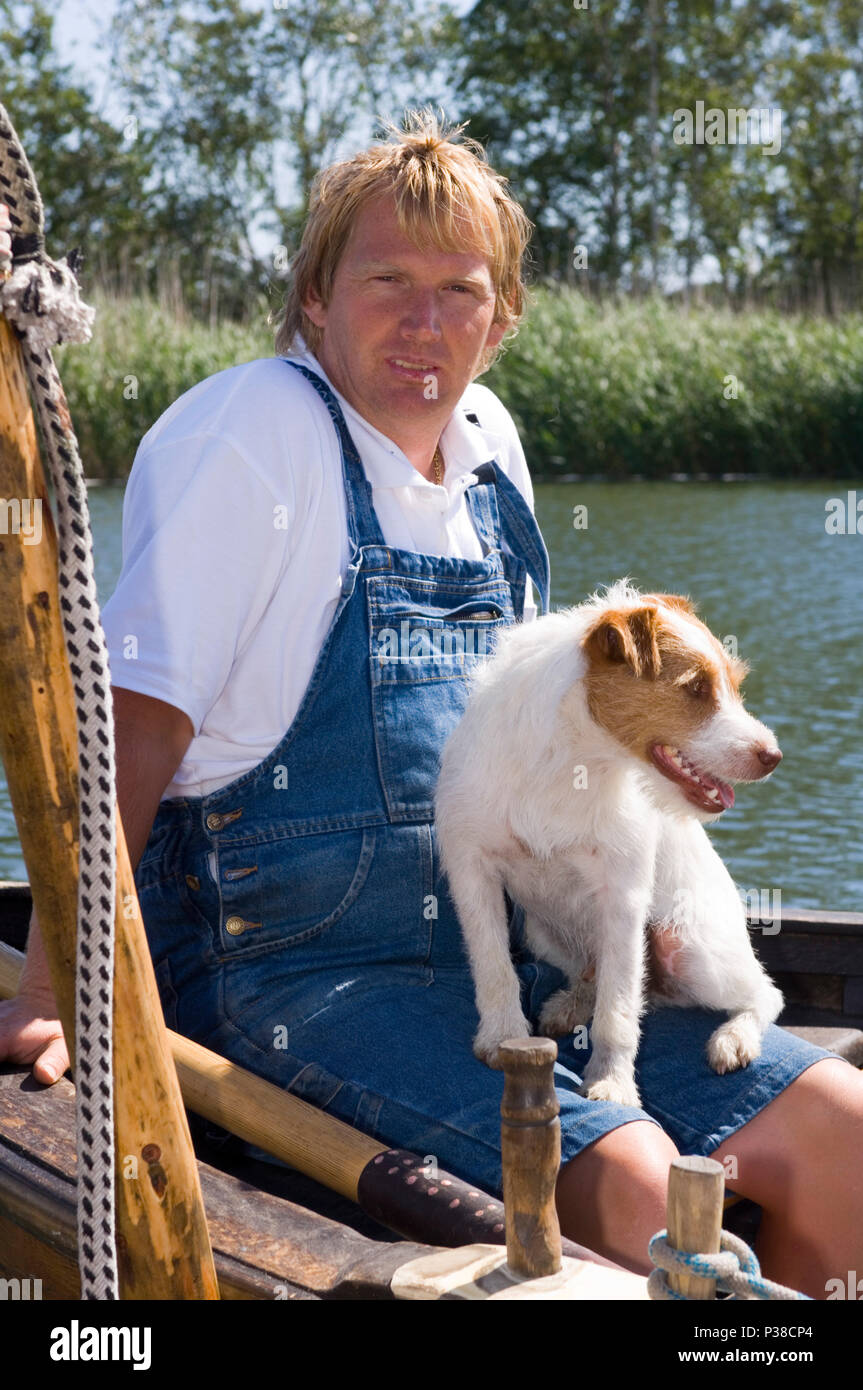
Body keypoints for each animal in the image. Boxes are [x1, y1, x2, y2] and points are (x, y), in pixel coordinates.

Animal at [433, 581, 783, 1112]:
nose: (773, 755)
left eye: (733, 683)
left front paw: (613, 1084)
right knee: (596, 974)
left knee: (763, 992)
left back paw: (734, 1038)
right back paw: (571, 1003)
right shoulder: (472, 869)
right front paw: (502, 1036)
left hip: (690, 946)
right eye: (696, 687)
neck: (574, 762)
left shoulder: (623, 895)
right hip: (544, 933)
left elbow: (617, 1013)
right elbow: (495, 968)